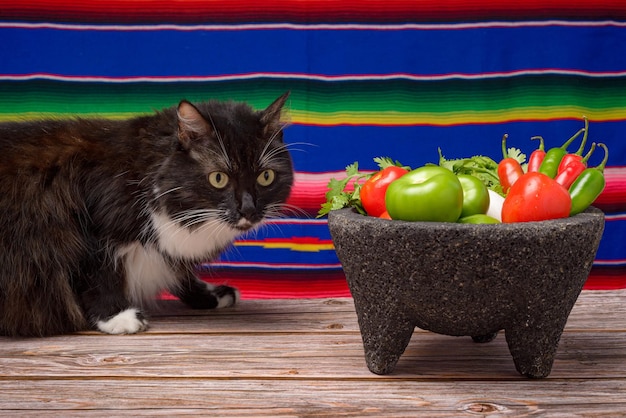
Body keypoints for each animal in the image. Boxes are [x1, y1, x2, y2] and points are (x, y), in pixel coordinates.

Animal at [0, 91, 292, 336]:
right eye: (218, 178)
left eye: (265, 177)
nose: (248, 209)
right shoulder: (91, 230)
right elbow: (98, 275)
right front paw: (115, 317)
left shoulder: (169, 249)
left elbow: (180, 272)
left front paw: (209, 294)